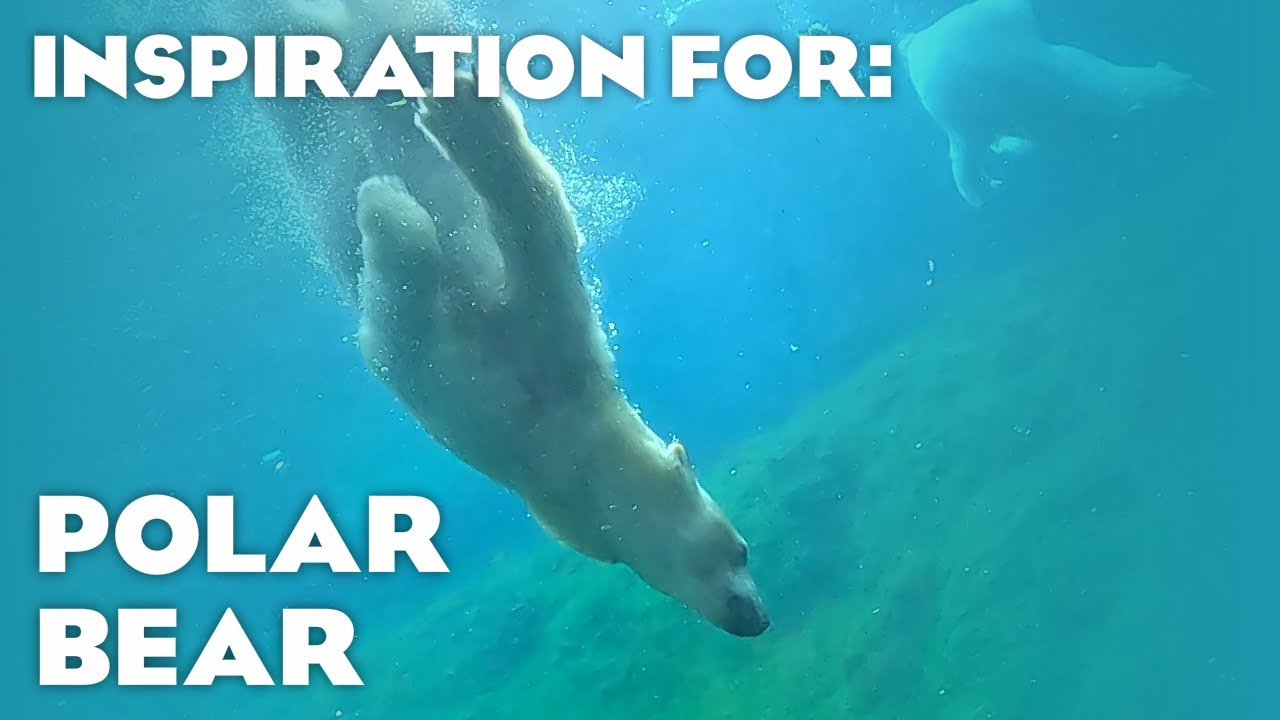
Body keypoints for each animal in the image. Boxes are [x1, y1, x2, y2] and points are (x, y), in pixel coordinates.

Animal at [257, 0, 771, 637]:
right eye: (741, 549)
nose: (757, 616)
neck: (554, 436)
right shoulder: (534, 345)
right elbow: (498, 248)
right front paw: (399, 186)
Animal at [899, 0, 1210, 207]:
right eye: (1183, 90)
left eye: (1186, 76)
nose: (1209, 92)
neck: (1114, 91)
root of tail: (917, 46)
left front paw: (1005, 148)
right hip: (962, 85)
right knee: (967, 147)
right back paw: (983, 191)